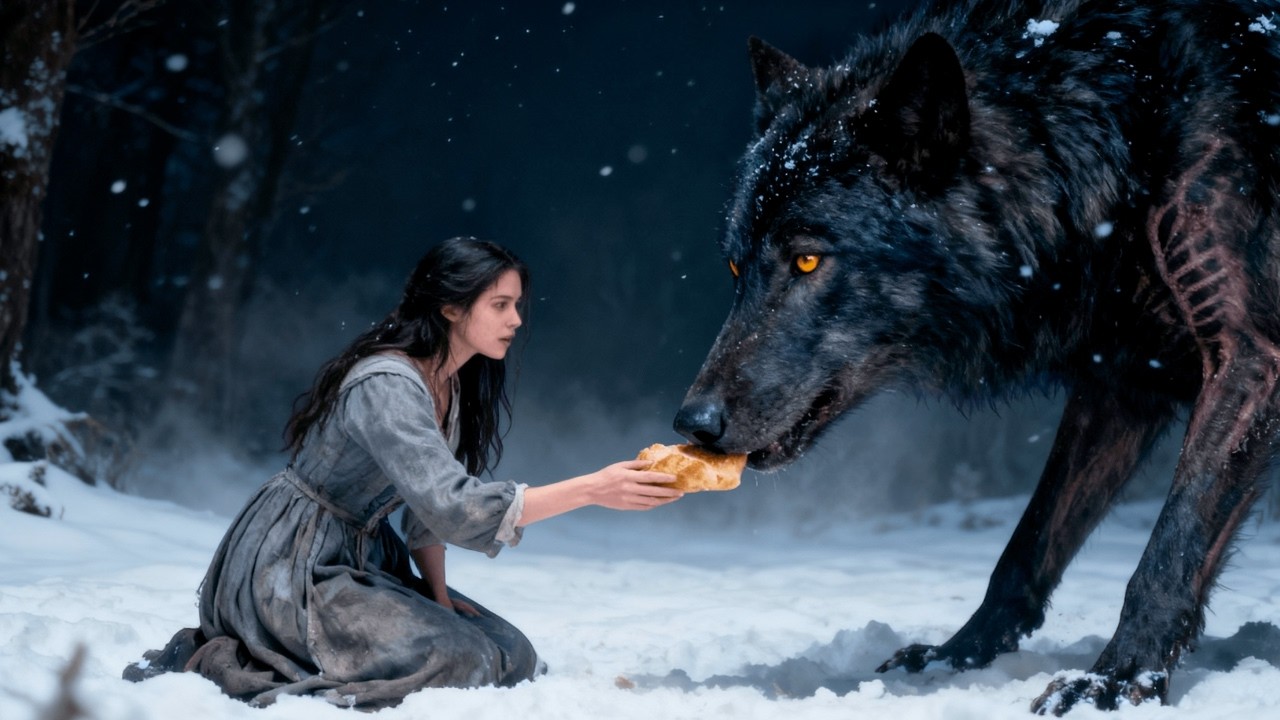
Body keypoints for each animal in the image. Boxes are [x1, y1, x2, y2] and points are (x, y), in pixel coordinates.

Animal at [674, 0, 1280, 714]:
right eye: (736, 267)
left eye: (807, 260)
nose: (693, 423)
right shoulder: (1124, 380)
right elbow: (1027, 546)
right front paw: (955, 656)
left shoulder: (1250, 359)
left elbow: (1169, 547)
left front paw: (1116, 679)